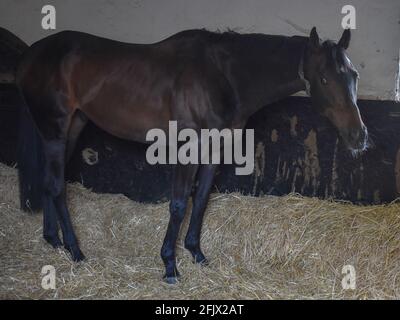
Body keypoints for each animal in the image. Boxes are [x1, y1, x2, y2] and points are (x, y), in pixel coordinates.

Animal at [17, 26, 368, 282]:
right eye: (325, 78)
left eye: (354, 75)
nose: (359, 136)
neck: (224, 77)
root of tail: (33, 53)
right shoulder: (188, 147)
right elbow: (178, 203)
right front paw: (170, 266)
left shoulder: (215, 148)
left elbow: (200, 199)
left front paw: (196, 252)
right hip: (55, 128)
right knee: (57, 186)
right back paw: (75, 250)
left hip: (74, 126)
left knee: (49, 180)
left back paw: (53, 239)